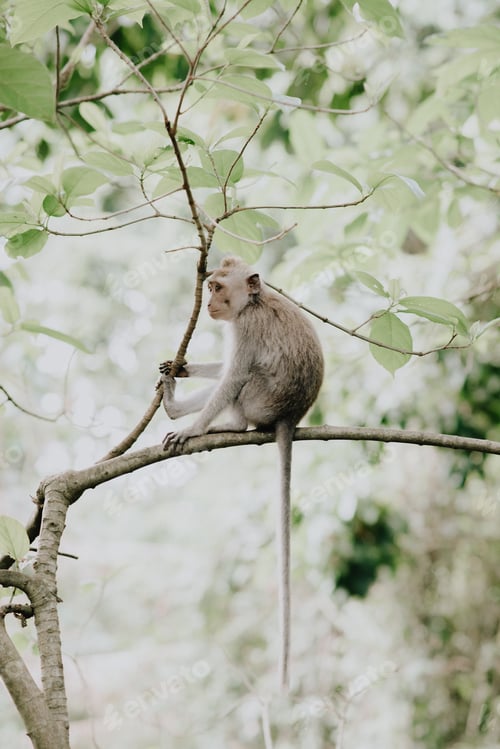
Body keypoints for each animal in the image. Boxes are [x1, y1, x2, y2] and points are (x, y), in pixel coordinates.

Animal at [159, 256, 324, 690]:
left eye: (218, 287)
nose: (209, 303)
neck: (253, 302)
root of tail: (289, 418)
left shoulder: (246, 328)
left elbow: (233, 376)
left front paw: (194, 429)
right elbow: (222, 371)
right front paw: (183, 368)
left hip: (260, 401)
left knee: (241, 382)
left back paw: (219, 424)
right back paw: (174, 405)